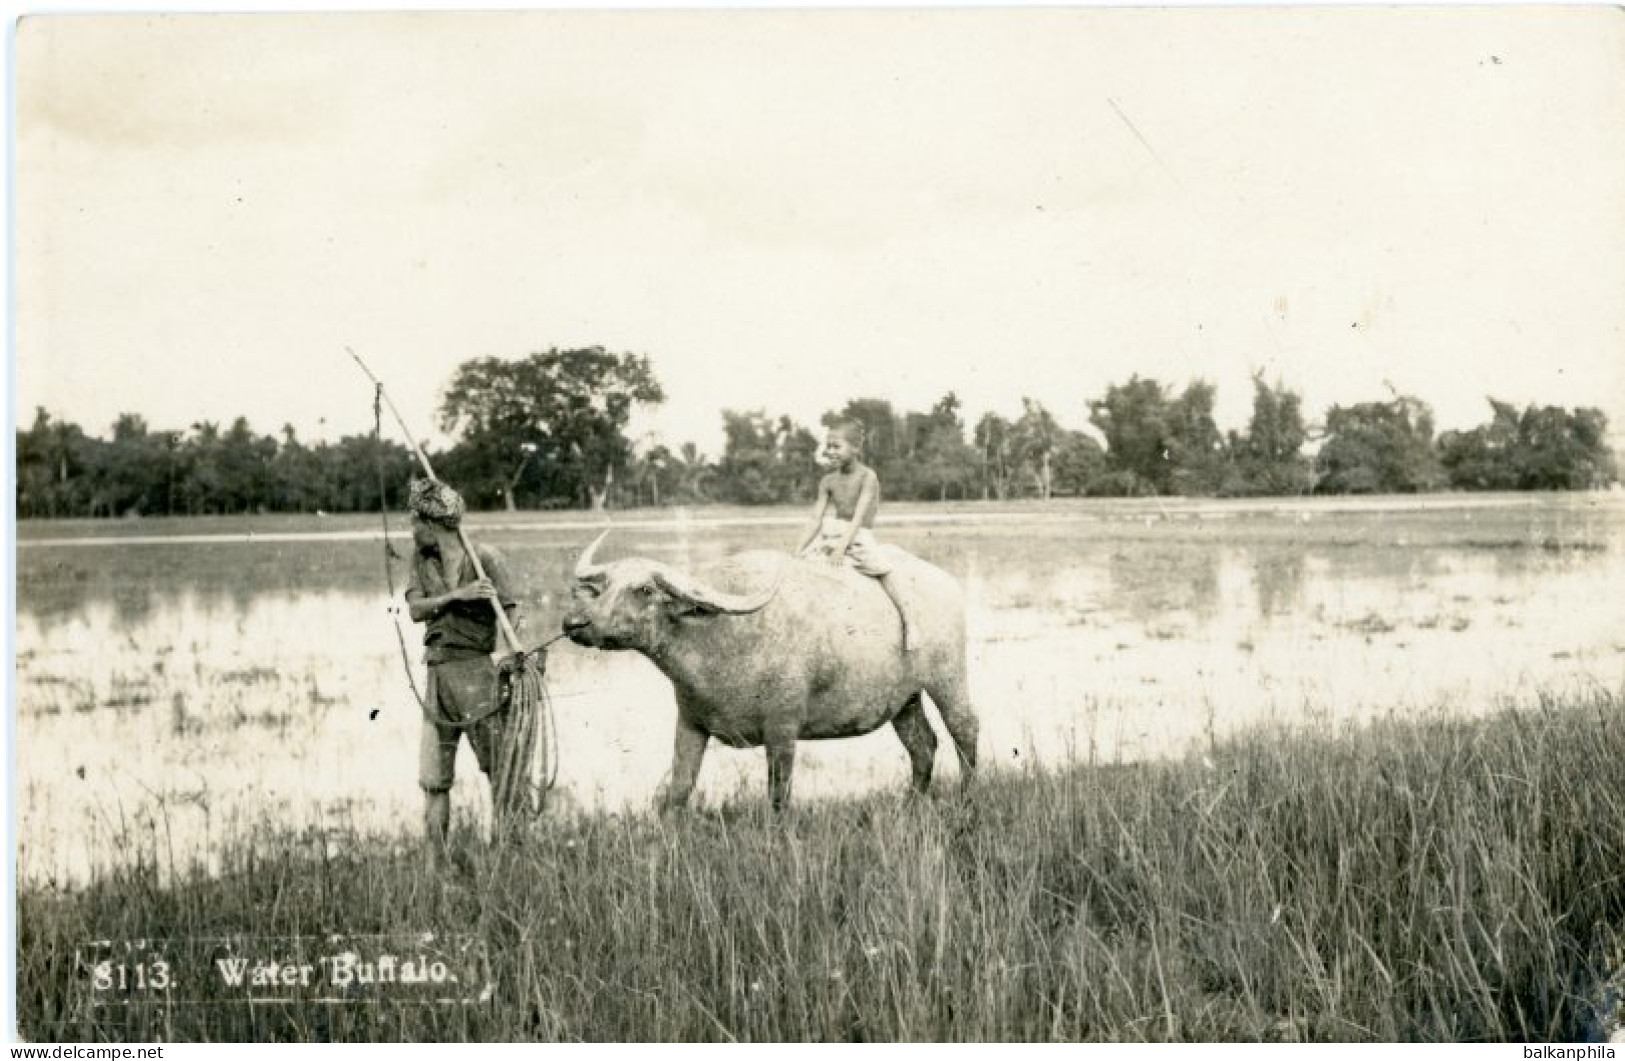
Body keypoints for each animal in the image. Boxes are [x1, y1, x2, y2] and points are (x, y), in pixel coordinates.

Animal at [562, 533, 979, 811]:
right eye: (603, 586)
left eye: (645, 590)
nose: (573, 623)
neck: (718, 641)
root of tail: (945, 583)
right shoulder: (691, 724)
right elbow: (678, 789)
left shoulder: (782, 729)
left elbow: (778, 796)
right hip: (904, 700)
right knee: (922, 744)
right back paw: (912, 802)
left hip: (948, 679)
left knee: (964, 730)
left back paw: (967, 797)